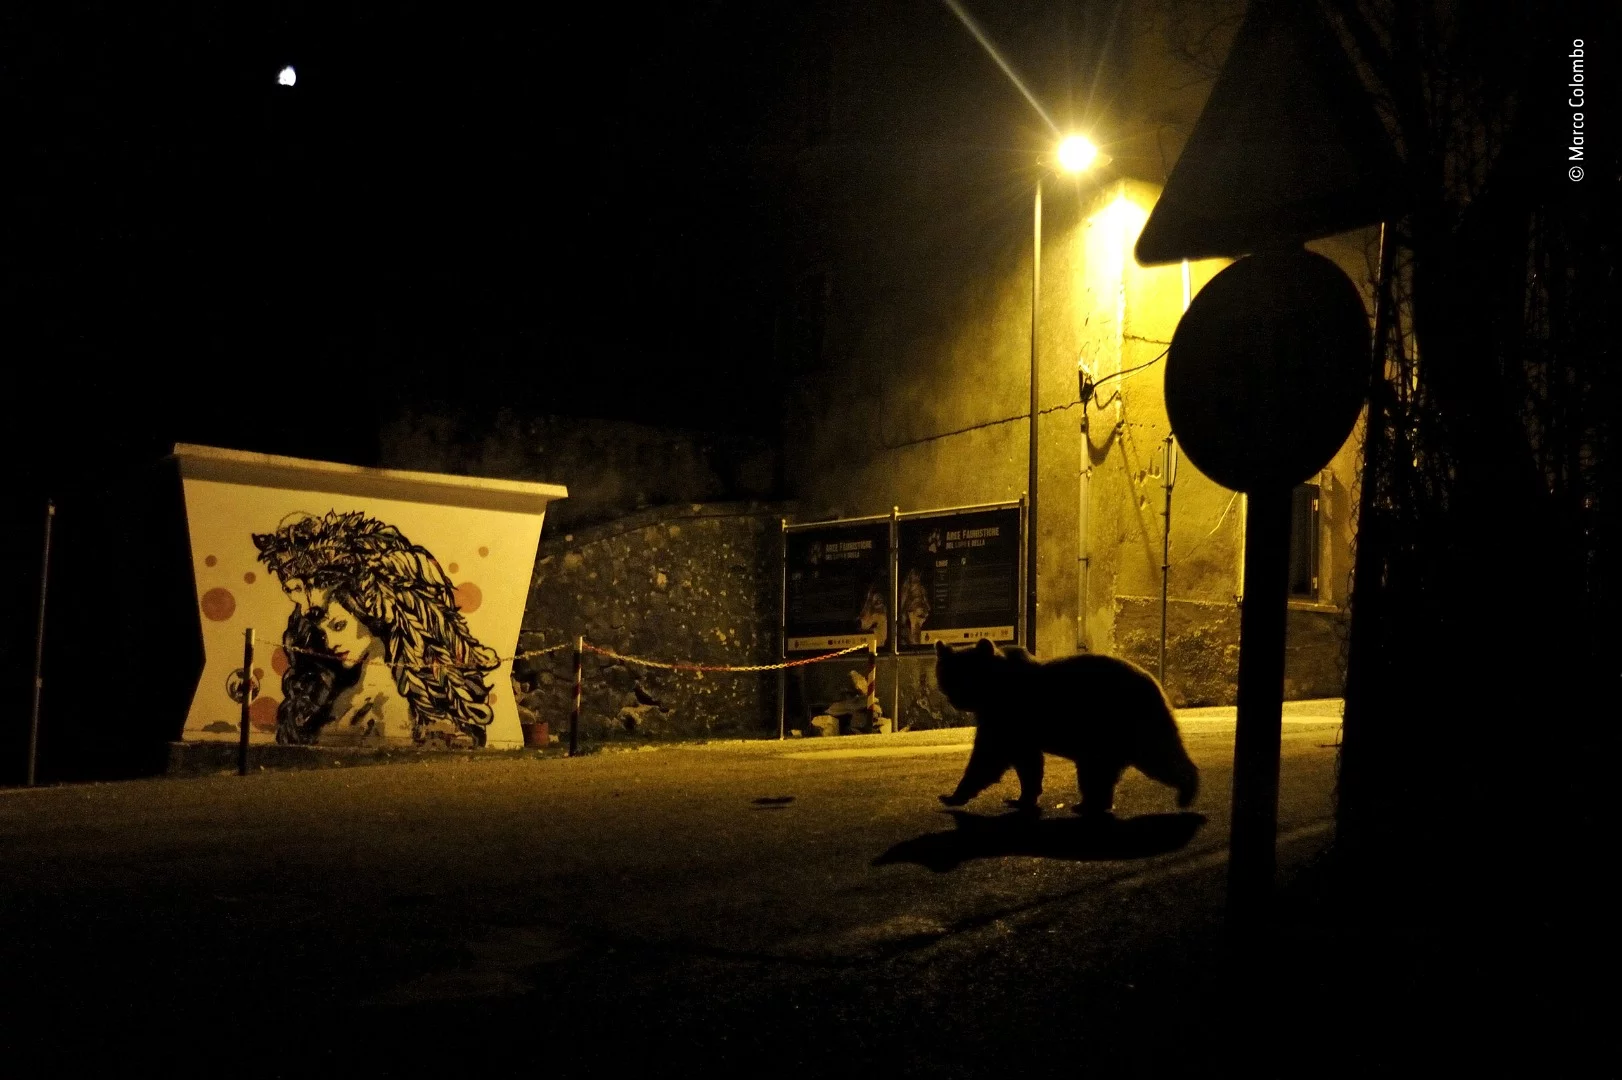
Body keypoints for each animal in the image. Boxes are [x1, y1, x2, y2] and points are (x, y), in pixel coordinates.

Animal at [934, 638, 1198, 818]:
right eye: (947, 676)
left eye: (965, 676)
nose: (955, 700)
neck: (992, 690)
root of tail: (1157, 685)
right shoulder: (1016, 726)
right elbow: (1027, 762)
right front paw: (1023, 797)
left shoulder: (1008, 716)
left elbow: (989, 757)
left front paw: (953, 796)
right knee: (1099, 772)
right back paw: (1090, 804)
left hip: (1122, 723)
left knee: (1157, 756)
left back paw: (1187, 789)